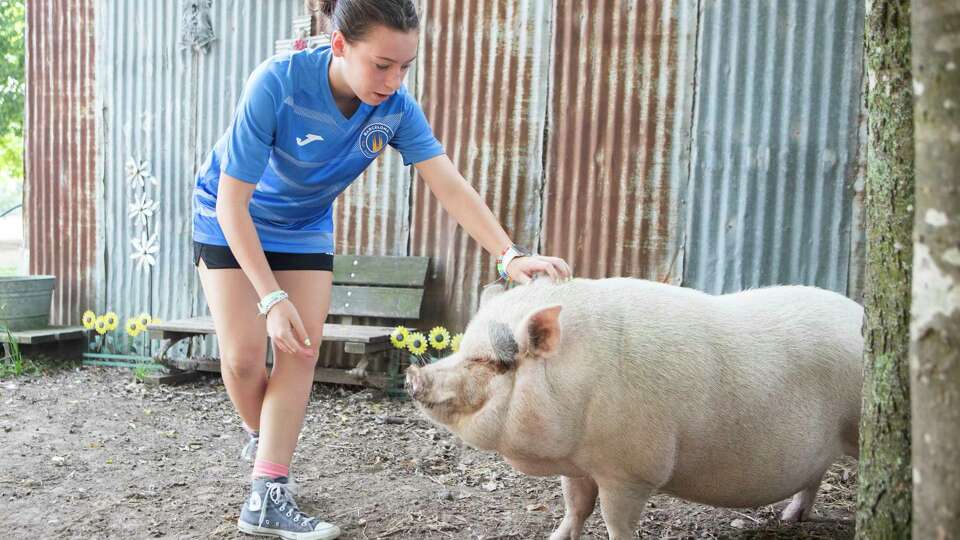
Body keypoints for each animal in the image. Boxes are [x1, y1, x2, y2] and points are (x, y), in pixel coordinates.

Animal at [404, 276, 864, 536]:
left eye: (491, 362)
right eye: (463, 348)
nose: (414, 374)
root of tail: (861, 312)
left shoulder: (631, 470)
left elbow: (614, 521)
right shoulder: (578, 464)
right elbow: (575, 509)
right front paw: (555, 537)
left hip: (858, 425)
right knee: (815, 475)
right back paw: (789, 519)